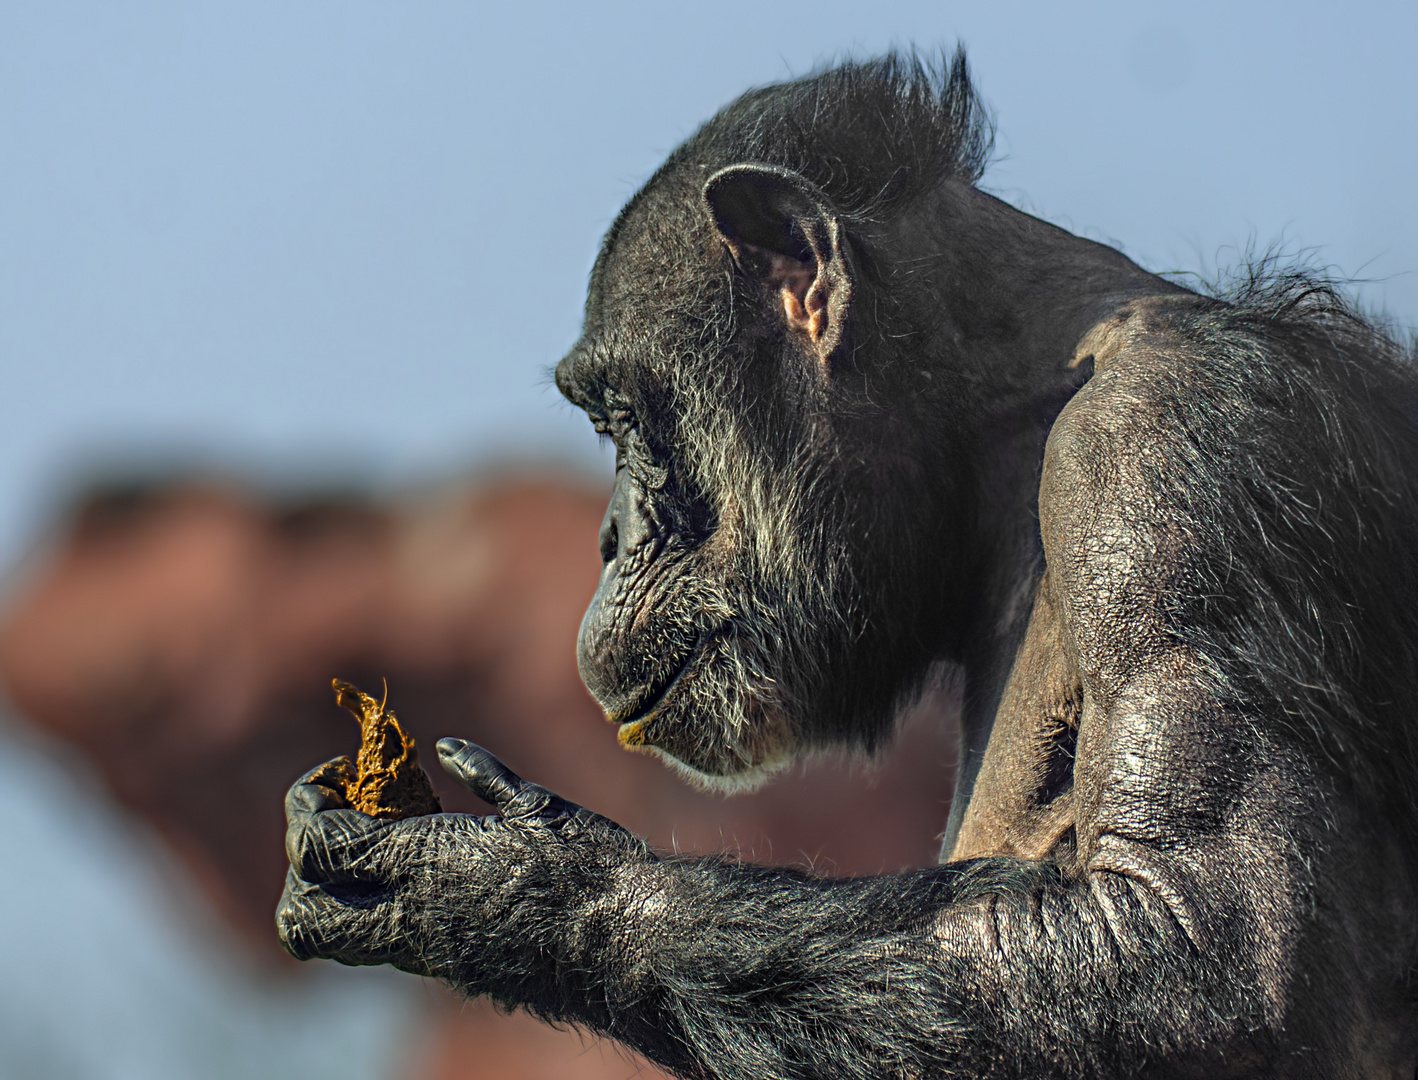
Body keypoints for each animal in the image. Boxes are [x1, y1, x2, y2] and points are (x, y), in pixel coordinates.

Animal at [270, 50, 1418, 1077]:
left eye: (620, 417)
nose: (608, 534)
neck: (993, 422)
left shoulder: (1167, 455)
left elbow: (1198, 948)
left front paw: (515, 889)